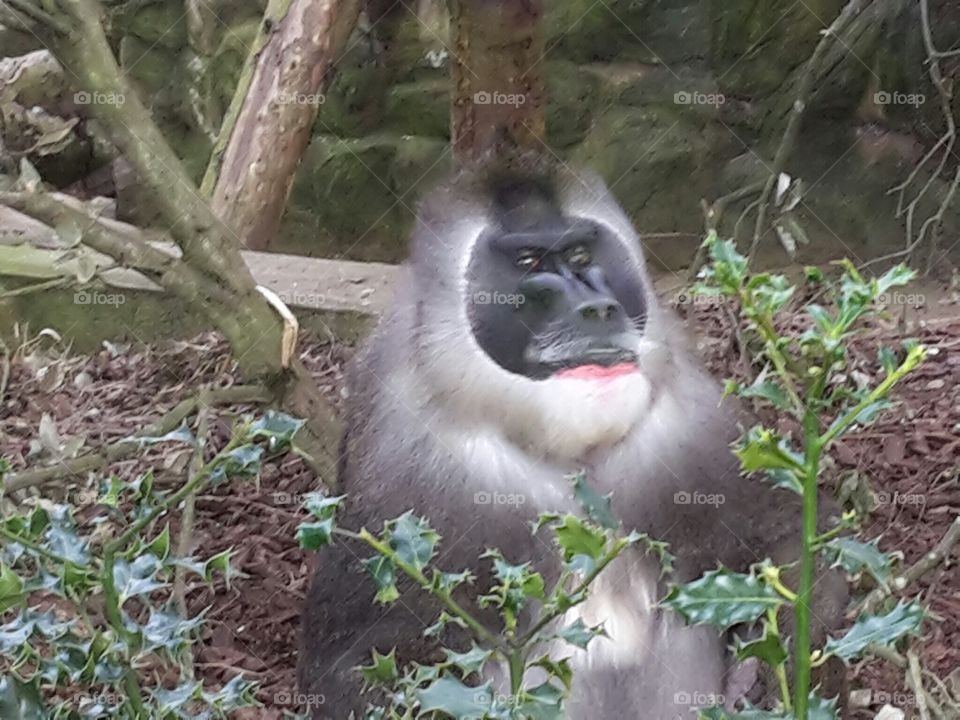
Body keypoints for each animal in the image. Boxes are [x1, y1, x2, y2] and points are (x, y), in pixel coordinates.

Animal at [297, 157, 848, 719]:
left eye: (582, 254)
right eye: (527, 260)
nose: (597, 307)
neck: (565, 452)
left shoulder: (690, 427)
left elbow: (796, 543)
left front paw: (767, 671)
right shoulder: (407, 458)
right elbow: (362, 659)